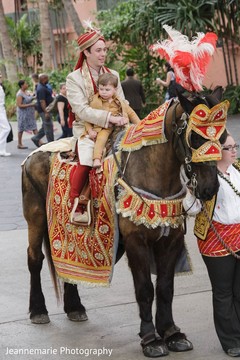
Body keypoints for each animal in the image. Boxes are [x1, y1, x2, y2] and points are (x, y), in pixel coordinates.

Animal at [21, 87, 226, 358]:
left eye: (223, 137)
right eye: (194, 137)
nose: (209, 188)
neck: (152, 171)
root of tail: (32, 157)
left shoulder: (170, 240)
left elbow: (165, 288)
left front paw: (171, 333)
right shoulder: (136, 242)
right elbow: (145, 289)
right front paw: (150, 339)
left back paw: (75, 307)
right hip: (35, 217)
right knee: (35, 259)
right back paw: (38, 311)